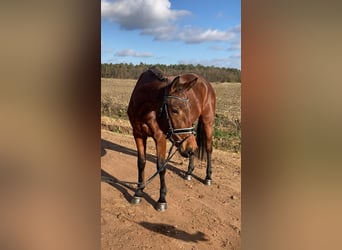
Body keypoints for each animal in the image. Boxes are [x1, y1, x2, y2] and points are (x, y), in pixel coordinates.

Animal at [127, 67, 215, 211]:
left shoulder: (160, 137)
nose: (192, 147)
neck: (144, 108)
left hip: (208, 121)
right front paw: (138, 192)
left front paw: (161, 199)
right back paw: (189, 172)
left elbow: (161, 167)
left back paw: (208, 177)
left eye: (189, 107)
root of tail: (205, 82)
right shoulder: (138, 135)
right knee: (191, 147)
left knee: (208, 148)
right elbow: (141, 163)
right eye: (174, 110)